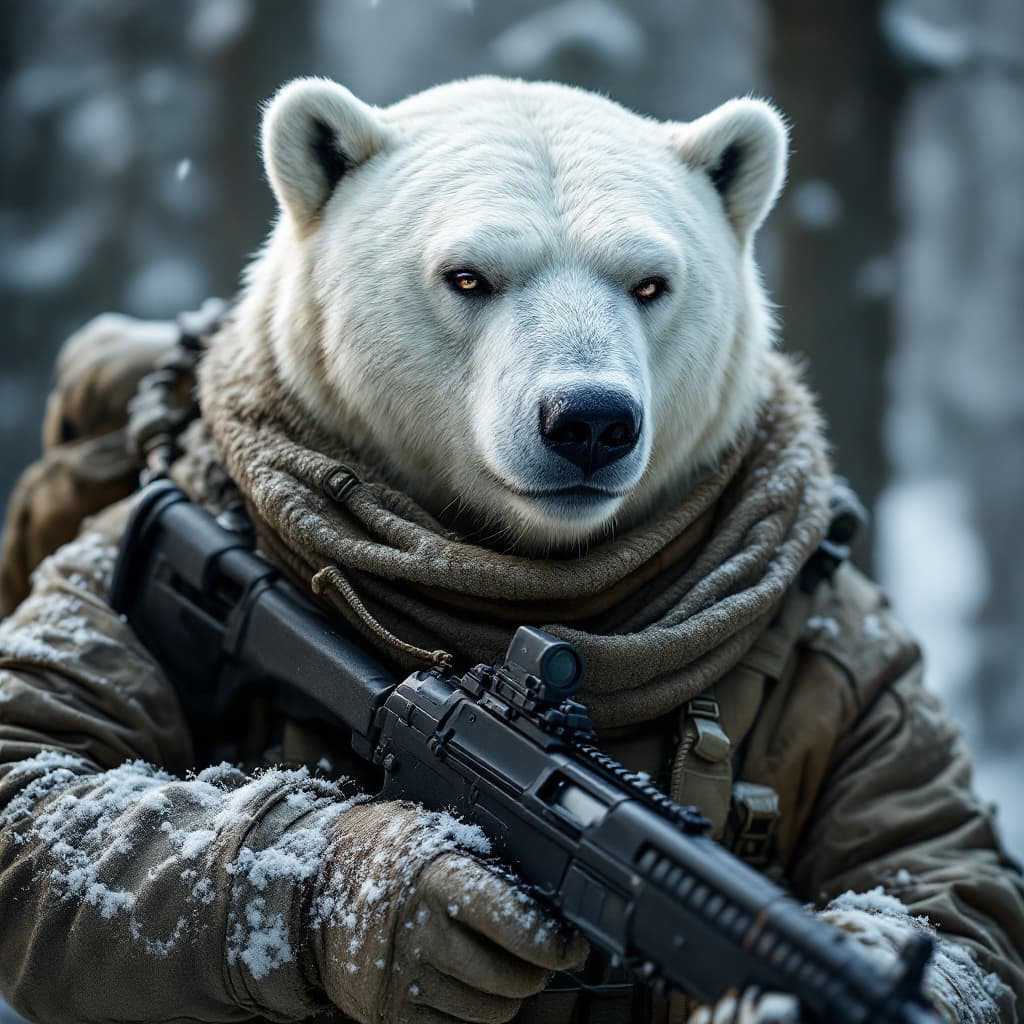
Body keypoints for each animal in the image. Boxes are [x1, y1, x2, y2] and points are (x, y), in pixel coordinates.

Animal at [0, 75, 1020, 1024]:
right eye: (467, 276)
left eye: (651, 282)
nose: (591, 420)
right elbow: (41, 774)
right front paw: (407, 906)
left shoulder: (860, 644)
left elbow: (939, 871)